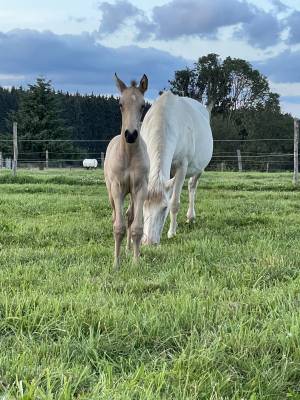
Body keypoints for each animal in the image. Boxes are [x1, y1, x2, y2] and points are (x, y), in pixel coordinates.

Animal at [141, 91, 213, 245]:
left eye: (164, 208)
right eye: (143, 205)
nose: (149, 242)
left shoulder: (182, 167)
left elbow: (174, 203)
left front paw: (172, 233)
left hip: (199, 168)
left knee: (192, 186)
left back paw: (190, 217)